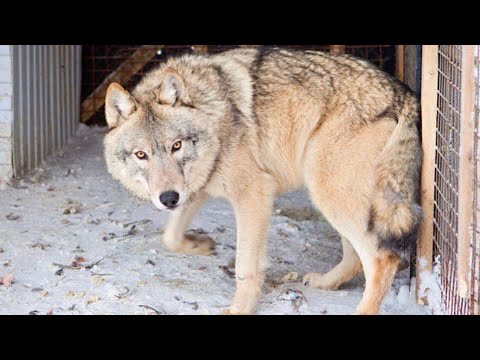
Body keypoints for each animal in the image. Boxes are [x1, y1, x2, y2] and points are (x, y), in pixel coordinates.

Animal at [103, 47, 422, 316]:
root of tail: (404, 93)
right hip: (329, 194)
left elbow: (245, 267)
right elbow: (170, 236)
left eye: (176, 146)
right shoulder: (197, 188)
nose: (168, 199)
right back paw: (324, 282)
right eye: (141, 155)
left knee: (383, 258)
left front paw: (238, 309)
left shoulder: (253, 194)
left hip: (329, 192)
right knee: (357, 257)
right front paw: (198, 246)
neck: (212, 113)